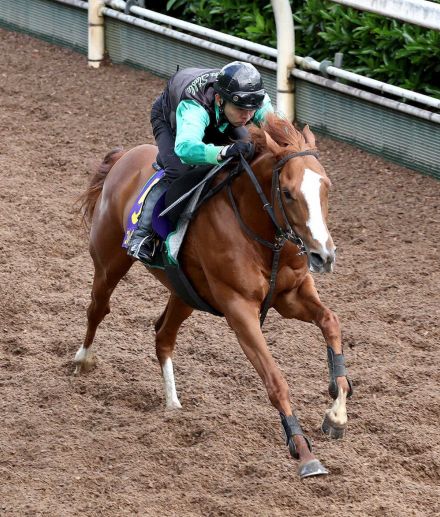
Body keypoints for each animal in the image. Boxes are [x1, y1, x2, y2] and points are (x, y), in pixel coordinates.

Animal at [75, 115, 350, 478]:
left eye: (326, 187)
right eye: (288, 193)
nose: (324, 255)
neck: (258, 228)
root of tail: (124, 157)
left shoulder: (291, 296)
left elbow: (331, 321)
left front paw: (337, 413)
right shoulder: (239, 308)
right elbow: (275, 379)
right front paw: (304, 452)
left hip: (184, 292)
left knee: (163, 335)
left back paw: (172, 402)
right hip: (109, 262)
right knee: (98, 308)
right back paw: (82, 359)